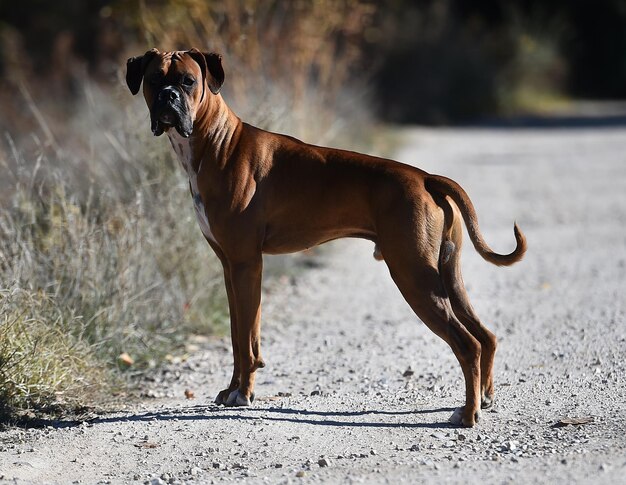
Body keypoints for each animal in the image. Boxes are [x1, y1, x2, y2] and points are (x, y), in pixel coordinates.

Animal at [124, 48, 524, 424]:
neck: (217, 142)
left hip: (414, 276)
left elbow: (247, 340)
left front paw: (244, 393)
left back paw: (468, 414)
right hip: (446, 275)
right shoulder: (230, 268)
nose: (169, 97)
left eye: (188, 81)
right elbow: (239, 336)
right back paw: (484, 399)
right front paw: (233, 389)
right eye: (154, 80)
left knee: (467, 344)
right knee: (486, 336)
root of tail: (426, 178)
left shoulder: (246, 265)